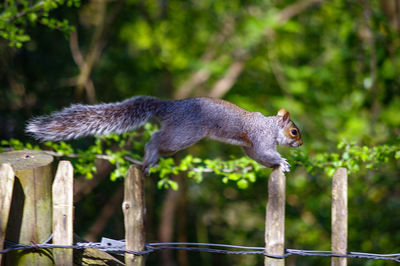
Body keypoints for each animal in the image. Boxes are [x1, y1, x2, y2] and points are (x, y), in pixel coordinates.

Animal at [26, 96, 304, 174]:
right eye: (294, 131)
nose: (300, 143)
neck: (271, 126)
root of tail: (169, 106)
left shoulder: (249, 146)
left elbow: (257, 156)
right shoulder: (261, 139)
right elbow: (267, 153)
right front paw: (282, 162)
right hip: (184, 134)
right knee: (155, 139)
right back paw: (149, 157)